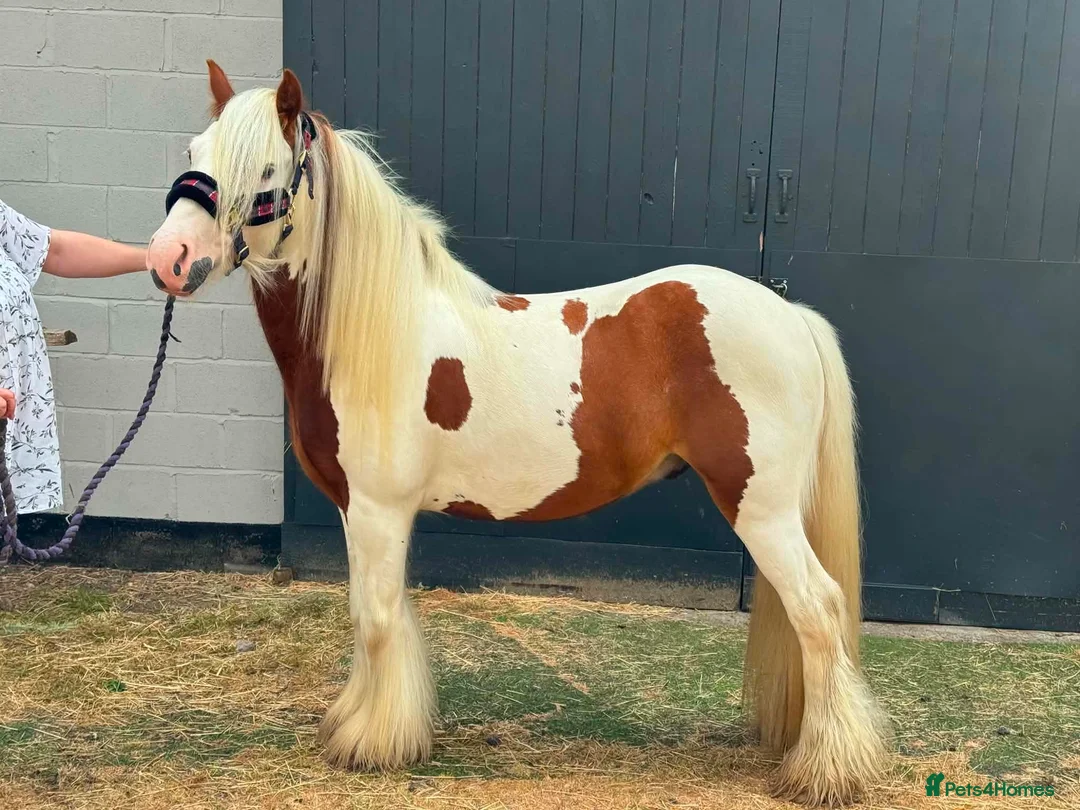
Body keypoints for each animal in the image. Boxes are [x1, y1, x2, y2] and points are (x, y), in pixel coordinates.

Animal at [146, 61, 890, 806]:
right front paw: (357, 723)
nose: (168, 257)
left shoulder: (381, 510)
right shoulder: (355, 511)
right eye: (194, 150)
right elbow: (364, 615)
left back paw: (825, 770)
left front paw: (374, 744)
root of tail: (790, 315)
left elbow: (379, 619)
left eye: (266, 171)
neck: (375, 333)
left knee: (819, 610)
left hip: (760, 508)